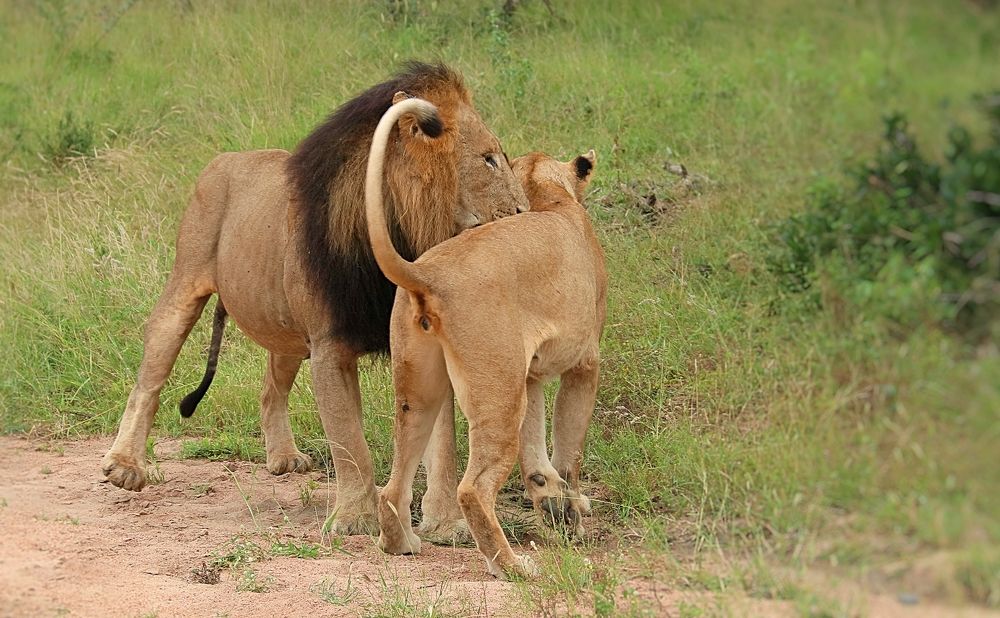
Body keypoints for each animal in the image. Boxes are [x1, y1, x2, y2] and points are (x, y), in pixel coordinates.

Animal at [100, 63, 529, 537]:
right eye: (489, 159)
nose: (524, 214)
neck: (405, 230)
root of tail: (226, 158)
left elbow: (444, 442)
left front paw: (447, 524)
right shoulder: (329, 347)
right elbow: (349, 442)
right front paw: (356, 519)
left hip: (285, 329)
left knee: (270, 388)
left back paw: (283, 457)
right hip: (186, 282)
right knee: (150, 376)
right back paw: (124, 465)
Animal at [363, 96, 607, 579]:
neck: (549, 198)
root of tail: (428, 275)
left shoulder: (528, 373)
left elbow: (536, 446)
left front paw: (549, 499)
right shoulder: (583, 363)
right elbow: (569, 451)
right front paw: (571, 513)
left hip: (422, 390)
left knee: (394, 482)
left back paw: (402, 544)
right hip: (496, 390)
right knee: (473, 488)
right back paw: (513, 567)